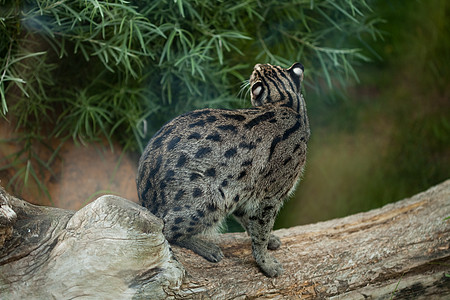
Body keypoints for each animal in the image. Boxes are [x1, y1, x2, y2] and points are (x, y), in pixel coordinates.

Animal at [136, 62, 310, 278]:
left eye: (266, 67)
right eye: (257, 72)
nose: (256, 64)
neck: (287, 102)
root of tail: (145, 200)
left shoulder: (242, 190)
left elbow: (251, 223)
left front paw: (269, 241)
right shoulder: (269, 196)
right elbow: (261, 229)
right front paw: (266, 263)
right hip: (209, 198)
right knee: (165, 229)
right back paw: (206, 247)